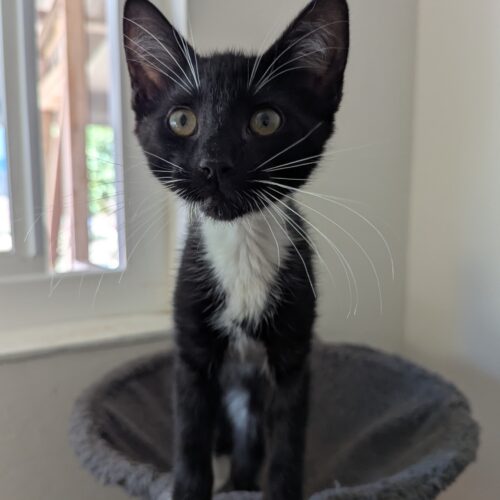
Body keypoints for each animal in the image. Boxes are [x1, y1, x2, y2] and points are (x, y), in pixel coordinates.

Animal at [123, 0, 349, 498]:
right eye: (181, 120)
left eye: (265, 121)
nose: (214, 163)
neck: (242, 245)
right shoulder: (190, 350)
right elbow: (191, 437)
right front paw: (191, 486)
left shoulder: (294, 355)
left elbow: (287, 439)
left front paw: (279, 488)